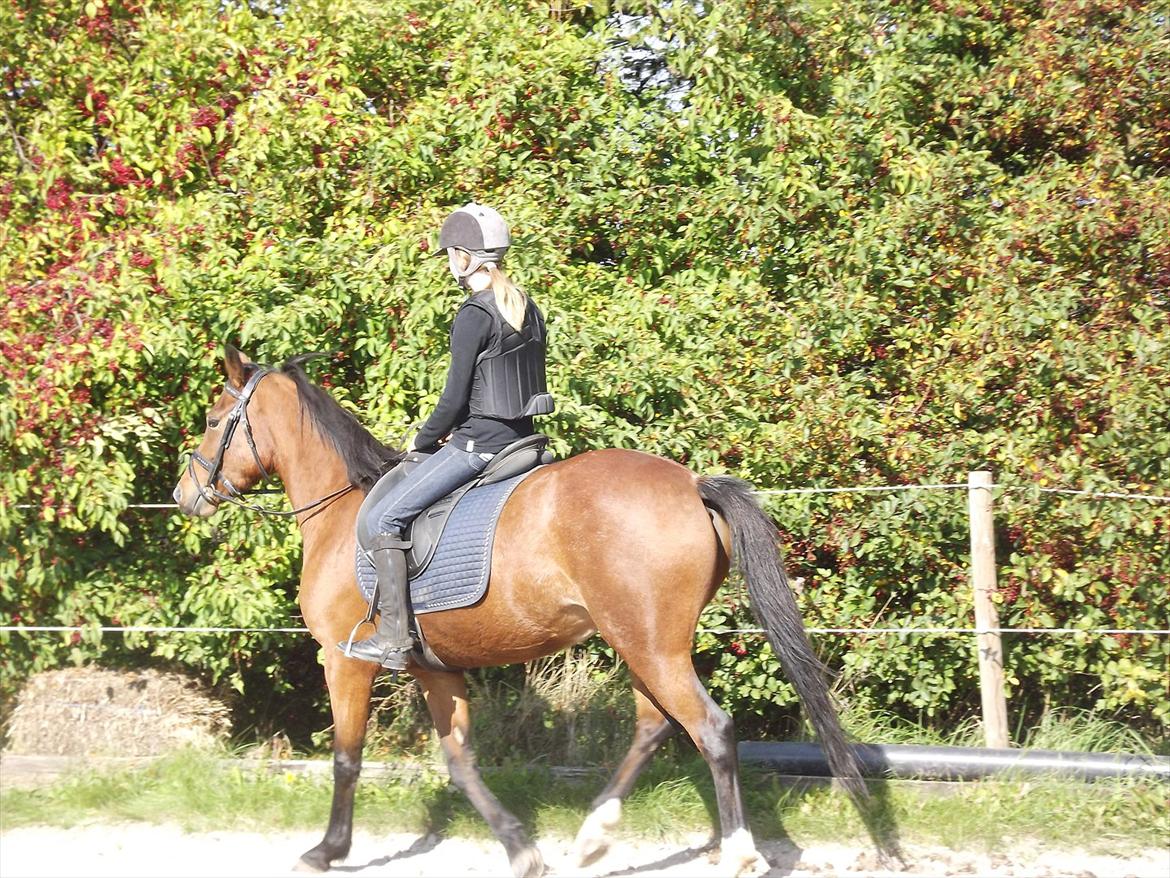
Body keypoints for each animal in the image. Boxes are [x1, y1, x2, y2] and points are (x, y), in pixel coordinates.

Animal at [171, 345, 872, 877]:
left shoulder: (345, 662)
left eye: (212, 417)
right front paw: (518, 847)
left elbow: (348, 757)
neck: (342, 511)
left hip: (649, 645)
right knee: (654, 726)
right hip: (643, 642)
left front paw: (327, 849)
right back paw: (593, 837)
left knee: (714, 730)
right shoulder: (434, 668)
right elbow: (459, 762)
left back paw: (738, 854)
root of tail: (691, 483)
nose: (185, 495)